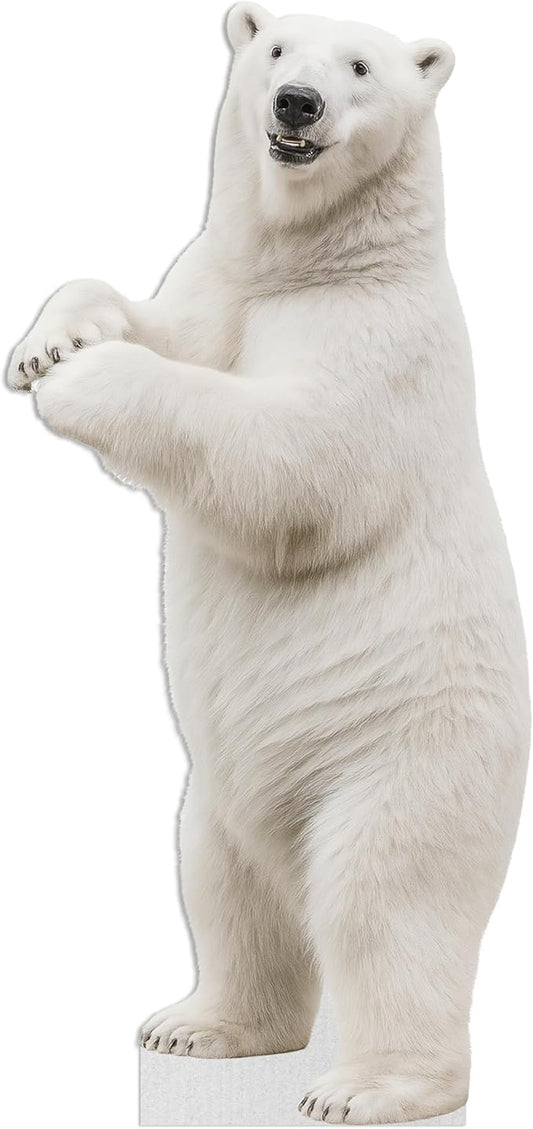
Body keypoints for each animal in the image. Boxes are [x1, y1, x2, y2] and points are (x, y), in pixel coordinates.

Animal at [7, 3, 529, 1124]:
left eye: (361, 65)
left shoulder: (380, 341)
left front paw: (82, 378)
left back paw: (367, 1085)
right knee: (223, 885)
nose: (298, 104)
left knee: (384, 901)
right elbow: (156, 318)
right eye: (278, 49)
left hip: (406, 756)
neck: (315, 262)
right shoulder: (215, 285)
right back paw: (197, 1024)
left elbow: (295, 457)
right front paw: (46, 344)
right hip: (215, 796)